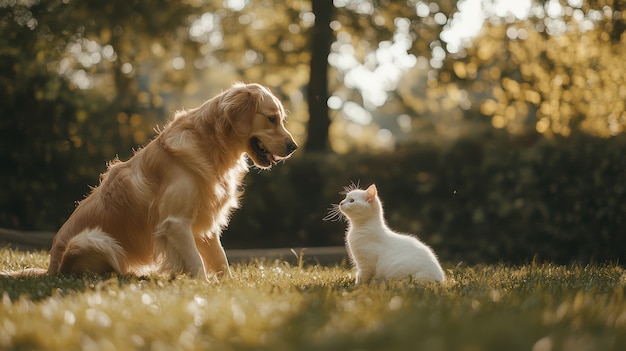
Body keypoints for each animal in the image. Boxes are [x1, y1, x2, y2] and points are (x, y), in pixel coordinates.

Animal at [4, 83, 298, 280]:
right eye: (271, 119)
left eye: (281, 119)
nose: (294, 146)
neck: (211, 146)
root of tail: (51, 268)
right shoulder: (175, 223)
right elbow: (196, 264)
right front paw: (202, 288)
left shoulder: (204, 224)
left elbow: (221, 260)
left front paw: (228, 287)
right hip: (92, 239)